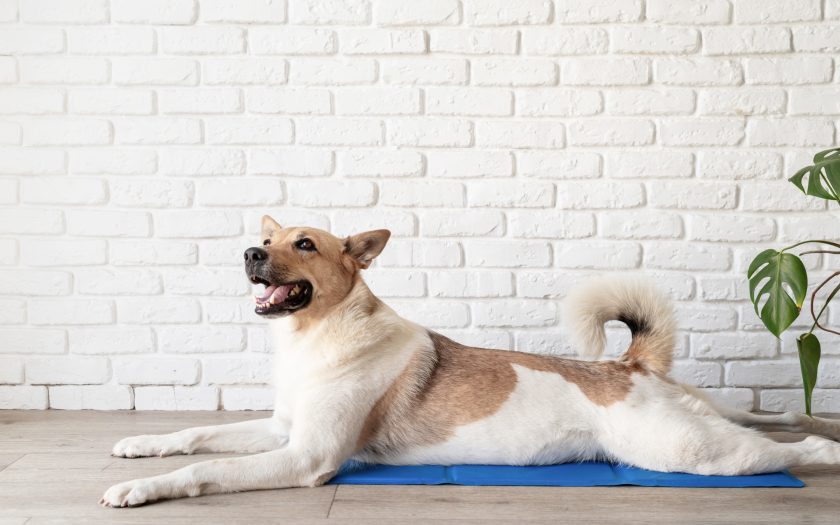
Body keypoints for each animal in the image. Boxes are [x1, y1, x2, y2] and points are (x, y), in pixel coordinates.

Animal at [101, 215, 840, 506]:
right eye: (270, 238)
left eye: (304, 244)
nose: (251, 254)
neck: (316, 336)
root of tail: (628, 367)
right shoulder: (282, 429)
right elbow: (197, 435)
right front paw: (140, 447)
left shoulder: (306, 455)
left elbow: (205, 469)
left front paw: (144, 488)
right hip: (700, 425)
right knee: (759, 418)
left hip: (683, 453)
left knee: (788, 450)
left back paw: (823, 448)